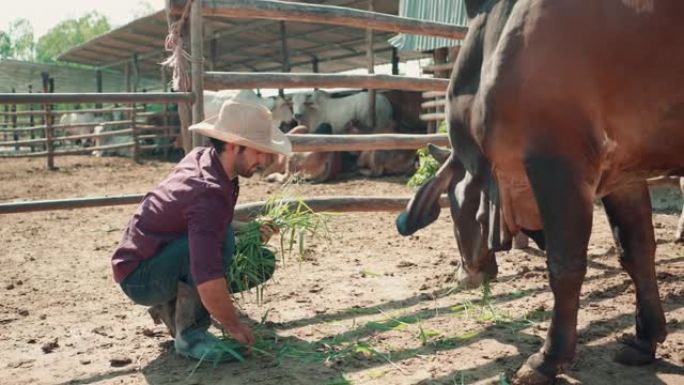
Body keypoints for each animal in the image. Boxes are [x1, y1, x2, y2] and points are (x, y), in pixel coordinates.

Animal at [396, 1, 684, 382]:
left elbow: (565, 267)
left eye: (454, 211)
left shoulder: (559, 163)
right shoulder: (624, 172)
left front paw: (547, 359)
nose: (465, 274)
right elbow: (636, 252)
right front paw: (644, 340)